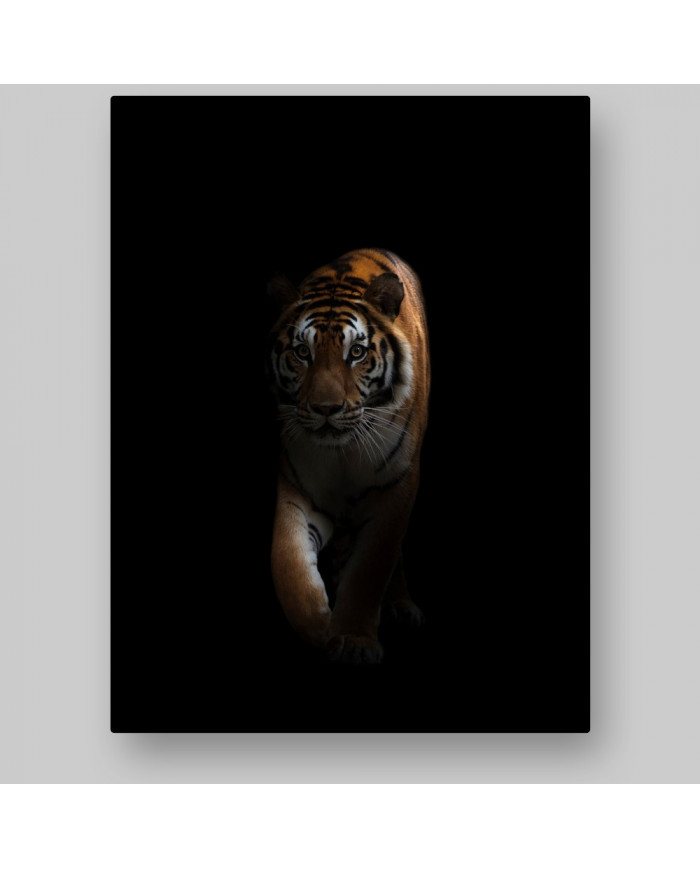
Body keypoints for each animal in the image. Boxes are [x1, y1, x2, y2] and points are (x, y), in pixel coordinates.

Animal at [267, 248, 430, 664]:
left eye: (356, 352)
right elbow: (289, 565)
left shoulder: (395, 489)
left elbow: (371, 568)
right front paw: (320, 628)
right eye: (302, 352)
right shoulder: (297, 490)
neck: (341, 454)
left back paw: (402, 607)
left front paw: (355, 640)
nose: (326, 408)